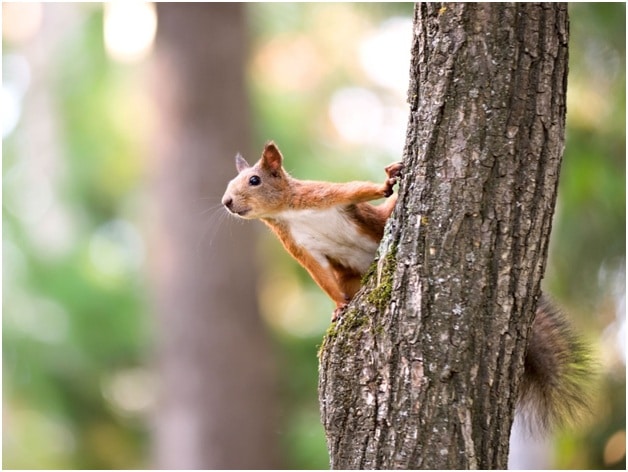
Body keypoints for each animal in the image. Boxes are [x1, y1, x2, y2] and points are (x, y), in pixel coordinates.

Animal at [221, 140, 402, 318]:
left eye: (254, 180)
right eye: (229, 183)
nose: (226, 202)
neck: (286, 212)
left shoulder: (320, 194)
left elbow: (355, 190)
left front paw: (385, 185)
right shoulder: (298, 243)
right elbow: (319, 271)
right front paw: (339, 305)